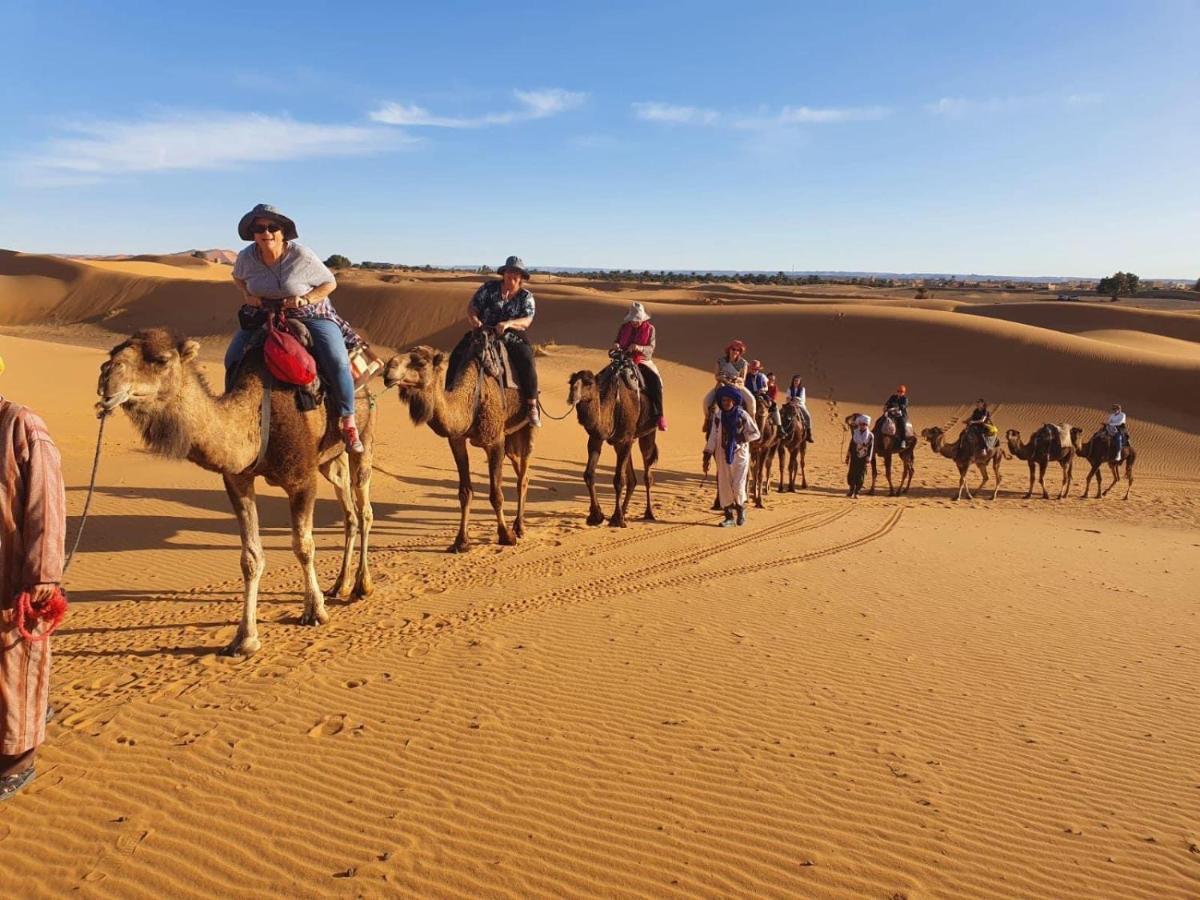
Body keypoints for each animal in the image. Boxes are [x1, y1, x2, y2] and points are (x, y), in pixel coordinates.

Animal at [101, 328, 376, 657]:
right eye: (112, 352)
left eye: (162, 359)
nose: (107, 375)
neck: (256, 418)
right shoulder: (238, 480)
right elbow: (250, 558)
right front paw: (244, 638)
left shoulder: (302, 480)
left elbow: (304, 546)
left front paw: (315, 611)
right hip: (329, 460)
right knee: (348, 508)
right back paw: (340, 584)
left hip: (363, 436)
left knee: (364, 508)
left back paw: (362, 585)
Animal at [384, 345, 535, 554]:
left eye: (421, 362)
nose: (388, 369)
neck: (471, 404)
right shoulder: (456, 440)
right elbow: (465, 492)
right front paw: (461, 542)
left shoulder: (495, 441)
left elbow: (496, 494)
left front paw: (506, 536)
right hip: (510, 437)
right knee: (520, 468)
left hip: (527, 424)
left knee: (523, 476)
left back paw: (519, 527)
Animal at [568, 362, 662, 528]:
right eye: (571, 381)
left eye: (589, 383)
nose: (572, 395)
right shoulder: (597, 438)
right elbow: (589, 474)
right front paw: (596, 516)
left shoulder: (625, 440)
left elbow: (618, 480)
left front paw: (617, 519)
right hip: (623, 442)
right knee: (632, 479)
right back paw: (623, 511)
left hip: (648, 433)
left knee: (647, 473)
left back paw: (648, 513)